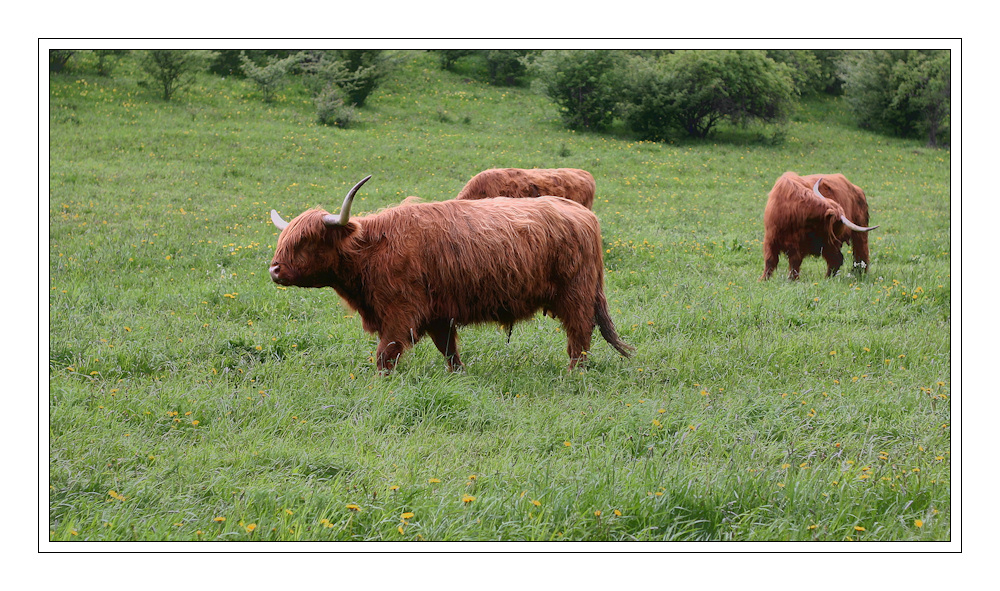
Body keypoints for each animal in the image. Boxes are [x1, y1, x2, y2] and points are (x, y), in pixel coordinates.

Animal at [270, 173, 628, 374]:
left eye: (306, 240)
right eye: (284, 239)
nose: (273, 269)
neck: (371, 251)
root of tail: (583, 214)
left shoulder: (401, 311)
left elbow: (385, 355)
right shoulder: (437, 313)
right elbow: (448, 349)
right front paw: (459, 374)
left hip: (576, 294)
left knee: (579, 336)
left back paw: (572, 374)